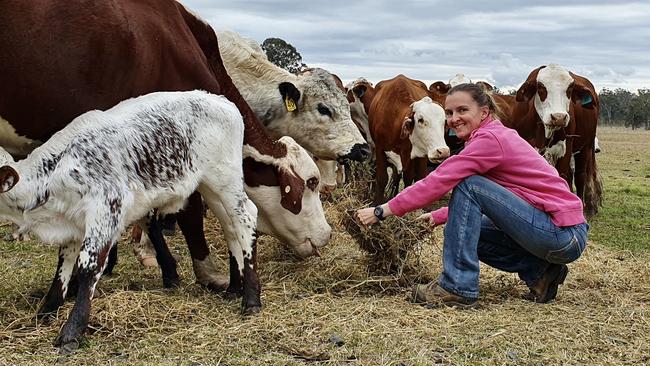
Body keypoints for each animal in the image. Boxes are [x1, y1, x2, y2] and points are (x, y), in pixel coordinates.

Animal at [0, 90, 258, 350]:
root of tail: (220, 100)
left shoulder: (106, 209)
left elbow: (88, 267)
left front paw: (72, 330)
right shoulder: (73, 222)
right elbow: (63, 265)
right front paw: (45, 312)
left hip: (225, 179)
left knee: (246, 218)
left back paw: (251, 299)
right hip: (210, 188)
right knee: (231, 227)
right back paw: (235, 288)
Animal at [368, 75, 448, 204]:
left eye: (444, 121)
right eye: (420, 120)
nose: (443, 151)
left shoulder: (416, 155)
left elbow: (413, 178)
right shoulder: (380, 149)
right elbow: (381, 178)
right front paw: (377, 202)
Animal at [512, 64, 604, 216]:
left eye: (570, 88)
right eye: (541, 87)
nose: (559, 117)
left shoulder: (565, 151)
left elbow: (562, 178)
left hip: (586, 146)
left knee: (580, 176)